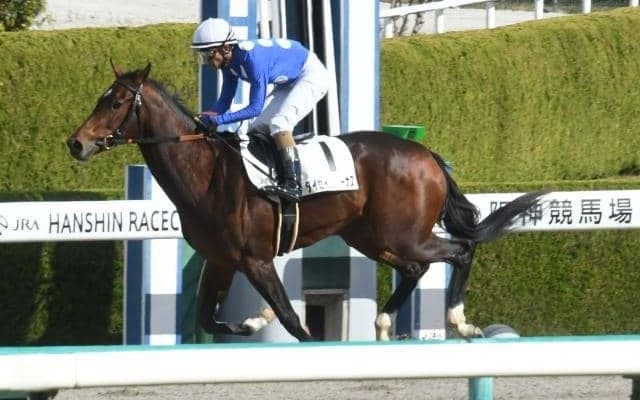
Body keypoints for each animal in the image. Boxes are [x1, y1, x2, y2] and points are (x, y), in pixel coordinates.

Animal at [67, 62, 547, 341]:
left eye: (115, 102)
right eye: (100, 99)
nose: (76, 143)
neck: (207, 175)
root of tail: (426, 154)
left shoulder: (255, 259)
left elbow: (293, 321)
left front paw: (272, 321)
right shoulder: (221, 260)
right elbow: (208, 319)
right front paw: (254, 319)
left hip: (403, 234)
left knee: (460, 250)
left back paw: (459, 321)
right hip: (371, 236)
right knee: (416, 268)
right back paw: (384, 326)